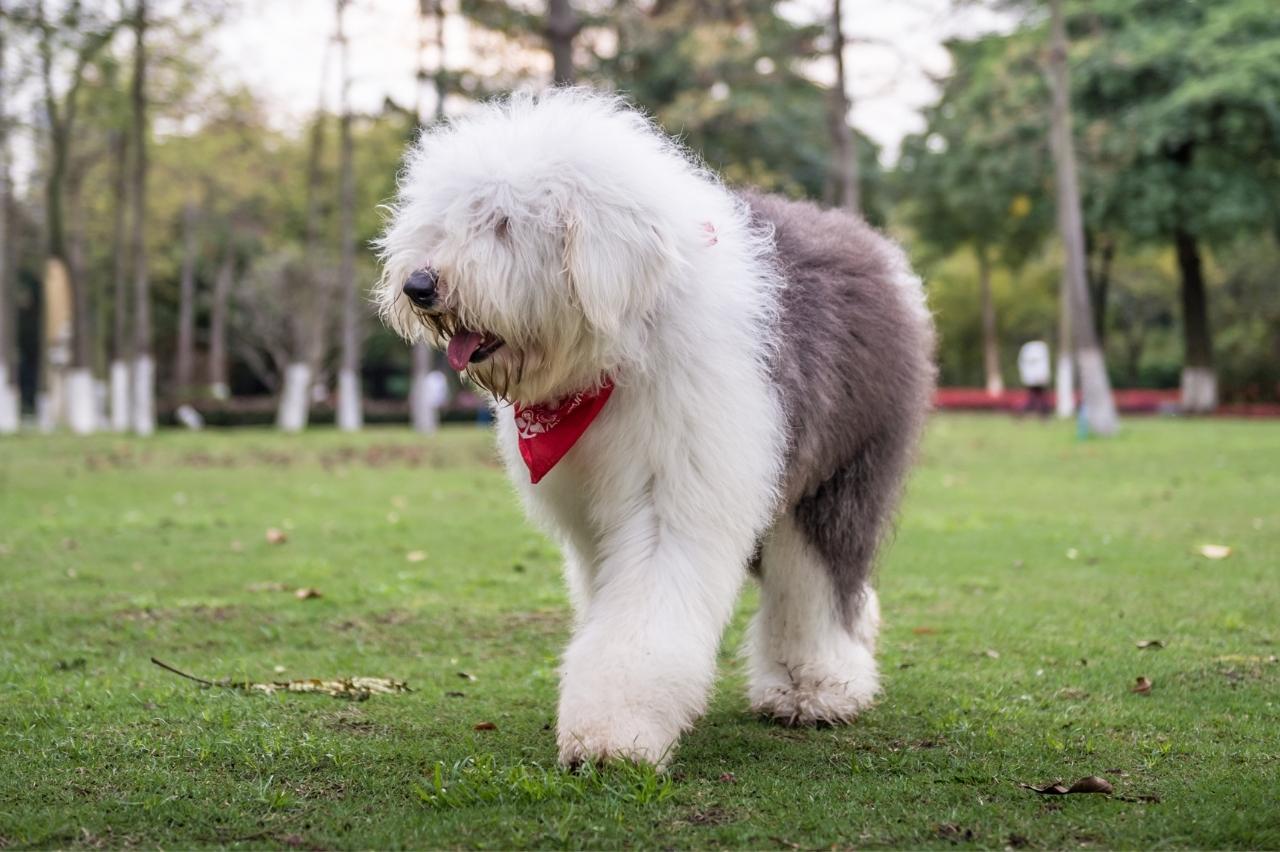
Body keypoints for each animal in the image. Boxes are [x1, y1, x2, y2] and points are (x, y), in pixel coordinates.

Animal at [373, 89, 936, 767]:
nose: (419, 284)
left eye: (502, 223)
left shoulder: (678, 488)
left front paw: (611, 734)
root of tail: (874, 246)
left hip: (840, 469)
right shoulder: (591, 516)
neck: (618, 346)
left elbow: (645, 610)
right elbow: (609, 600)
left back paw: (815, 688)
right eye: (443, 219)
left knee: (816, 579)